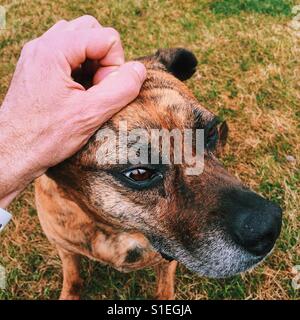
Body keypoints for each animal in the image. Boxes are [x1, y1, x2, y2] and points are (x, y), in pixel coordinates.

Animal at [34, 48, 282, 300]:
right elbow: (73, 279)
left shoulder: (166, 262)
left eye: (210, 131)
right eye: (139, 173)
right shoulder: (65, 248)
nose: (270, 226)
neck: (116, 231)